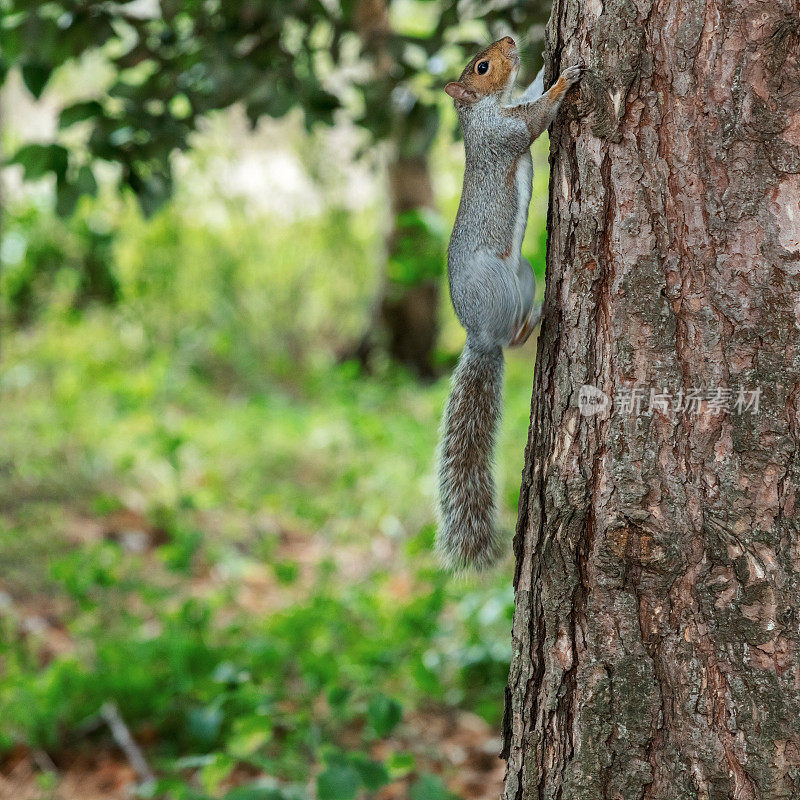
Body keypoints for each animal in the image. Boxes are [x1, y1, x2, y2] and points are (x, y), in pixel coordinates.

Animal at [434, 37, 584, 572]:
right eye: (481, 66)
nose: (509, 42)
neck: (485, 109)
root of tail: (480, 335)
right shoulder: (504, 133)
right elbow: (536, 116)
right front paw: (566, 79)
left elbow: (531, 92)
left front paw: (544, 63)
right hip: (497, 280)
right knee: (513, 340)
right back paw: (539, 316)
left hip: (522, 274)